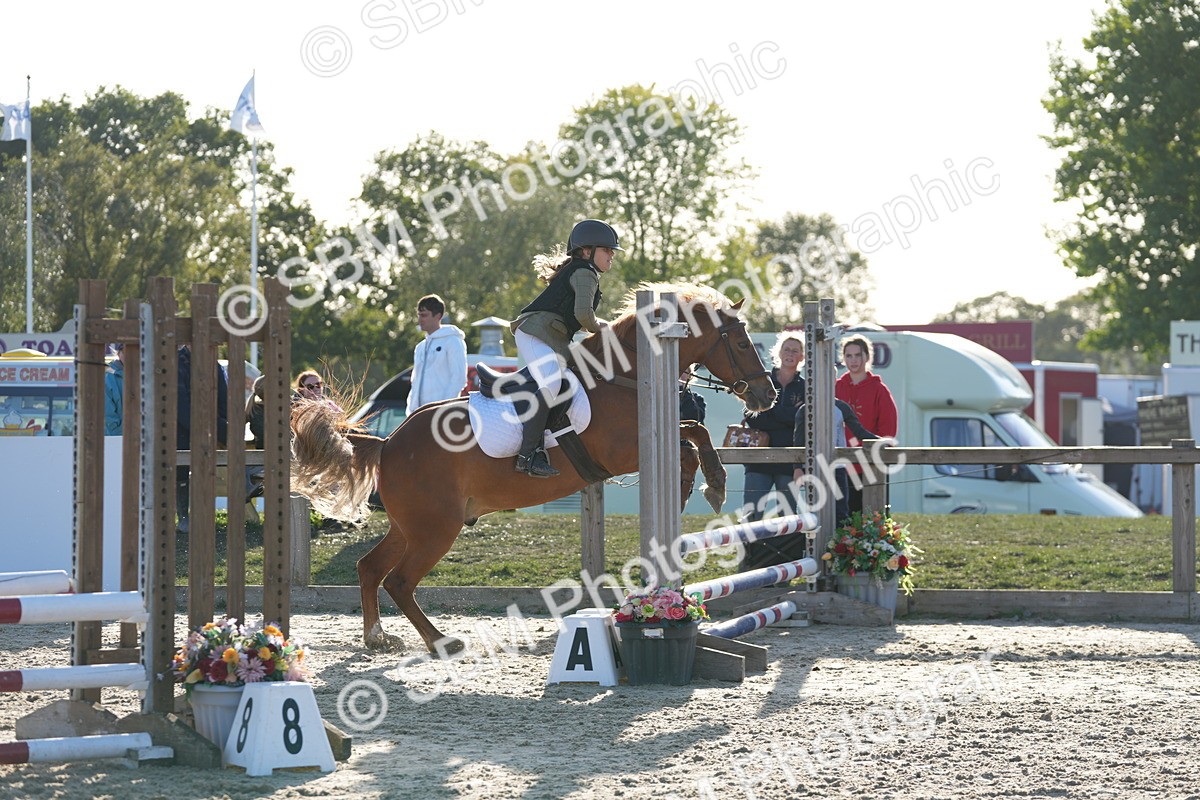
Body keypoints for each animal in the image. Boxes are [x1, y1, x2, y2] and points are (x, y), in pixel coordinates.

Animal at [290, 283, 776, 652]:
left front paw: (704, 485)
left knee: (370, 568)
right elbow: (689, 440)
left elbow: (696, 431)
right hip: (435, 529)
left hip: (411, 525)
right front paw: (708, 485)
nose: (767, 396)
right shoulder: (624, 451)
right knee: (400, 581)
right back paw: (440, 641)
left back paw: (377, 638)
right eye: (740, 342)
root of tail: (389, 443)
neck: (625, 376)